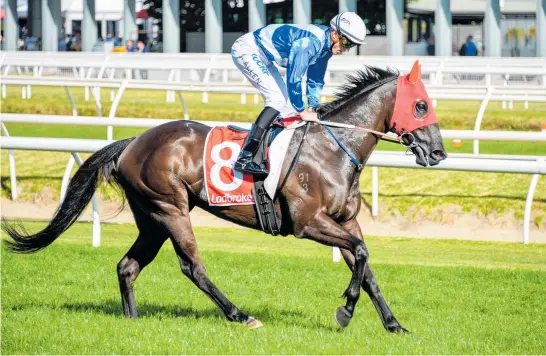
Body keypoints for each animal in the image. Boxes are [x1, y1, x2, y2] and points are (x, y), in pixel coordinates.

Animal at [4, 60, 444, 330]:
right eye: (421, 106)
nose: (438, 153)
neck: (332, 150)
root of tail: (131, 143)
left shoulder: (345, 220)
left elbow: (366, 268)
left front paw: (394, 325)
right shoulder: (308, 223)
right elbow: (362, 258)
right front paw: (345, 310)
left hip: (151, 217)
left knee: (128, 266)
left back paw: (132, 320)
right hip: (170, 208)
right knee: (192, 266)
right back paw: (240, 314)